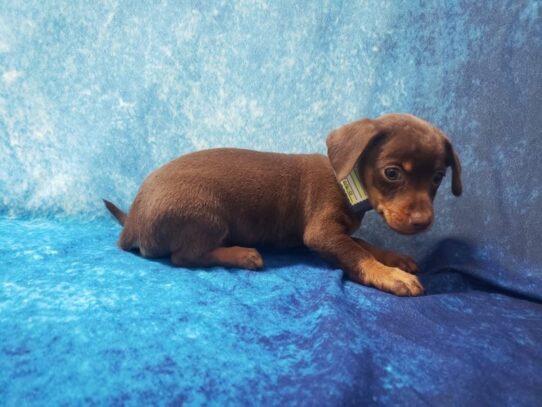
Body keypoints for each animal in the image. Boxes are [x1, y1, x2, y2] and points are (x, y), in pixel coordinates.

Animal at [105, 114, 464, 296]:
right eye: (392, 173)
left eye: (437, 177)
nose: (422, 222)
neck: (346, 182)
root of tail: (131, 224)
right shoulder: (321, 233)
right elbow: (358, 253)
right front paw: (389, 274)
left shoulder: (335, 233)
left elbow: (364, 243)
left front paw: (395, 259)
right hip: (207, 215)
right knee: (184, 257)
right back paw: (242, 255)